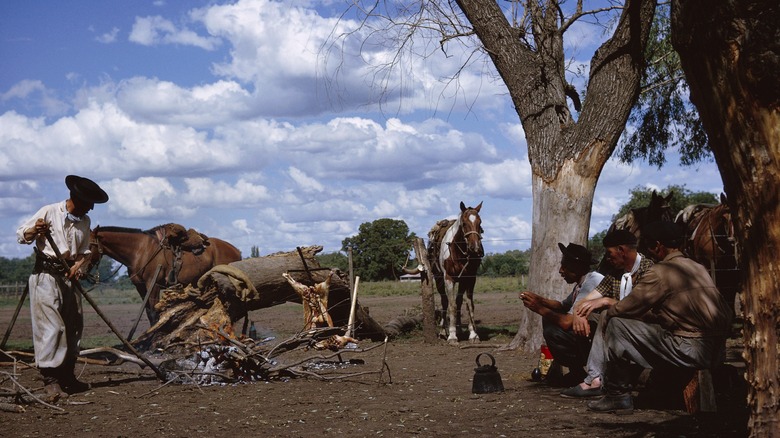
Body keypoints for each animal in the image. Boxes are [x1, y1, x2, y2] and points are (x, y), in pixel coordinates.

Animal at [88, 226, 242, 322]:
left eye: (89, 245)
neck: (140, 250)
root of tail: (236, 250)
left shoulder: (154, 285)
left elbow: (154, 312)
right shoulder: (141, 287)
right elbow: (148, 312)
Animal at [426, 203, 482, 346]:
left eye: (480, 223)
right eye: (464, 223)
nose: (475, 248)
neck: (458, 252)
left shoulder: (470, 279)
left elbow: (469, 305)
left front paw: (473, 334)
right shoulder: (448, 278)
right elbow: (451, 305)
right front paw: (452, 335)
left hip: (461, 281)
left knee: (459, 301)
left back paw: (459, 329)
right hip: (439, 279)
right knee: (445, 302)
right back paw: (442, 331)